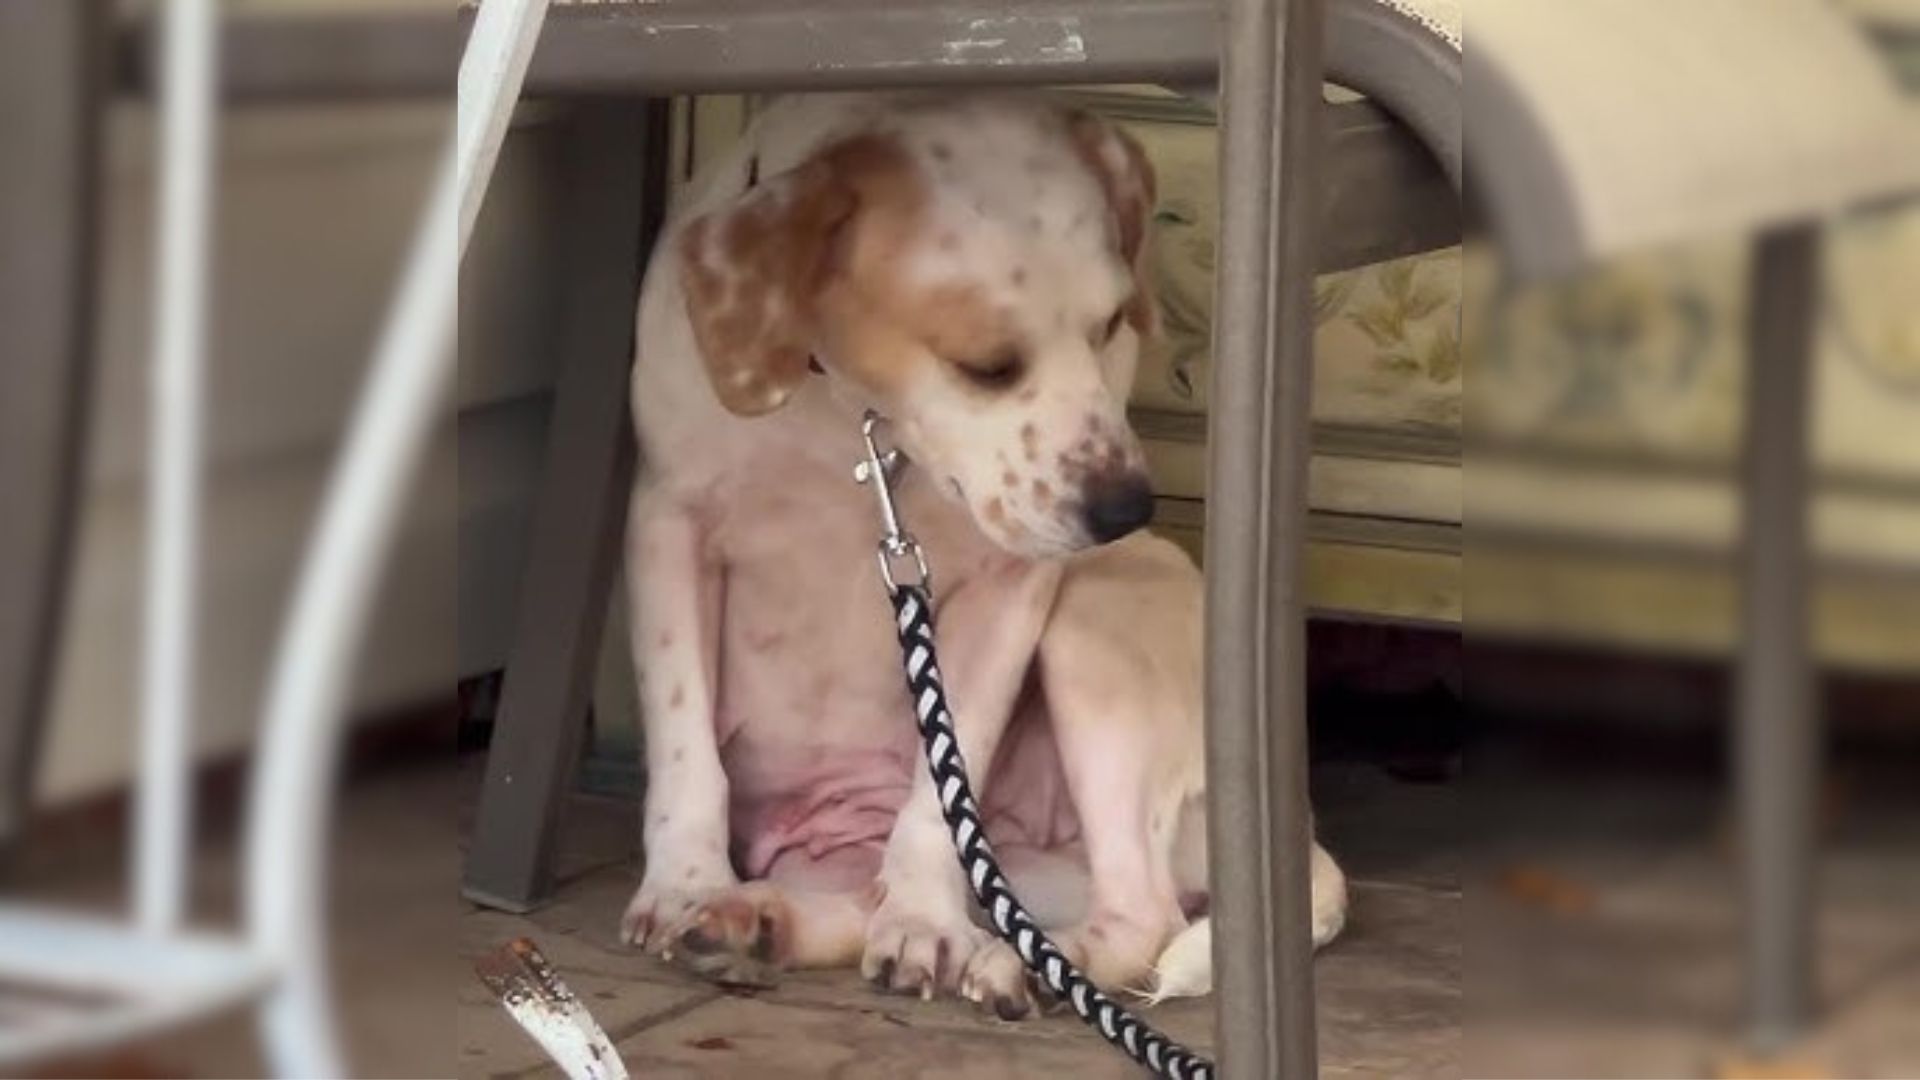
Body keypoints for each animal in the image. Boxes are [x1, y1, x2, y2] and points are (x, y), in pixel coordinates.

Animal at [622, 92, 1344, 1006]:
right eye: (988, 366)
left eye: (1111, 327)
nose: (1127, 509)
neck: (851, 424)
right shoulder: (669, 522)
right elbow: (686, 743)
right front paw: (686, 882)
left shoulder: (1014, 585)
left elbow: (945, 772)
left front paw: (925, 923)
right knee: (890, 895)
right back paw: (756, 922)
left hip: (1094, 640)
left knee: (1141, 913)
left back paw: (1021, 963)